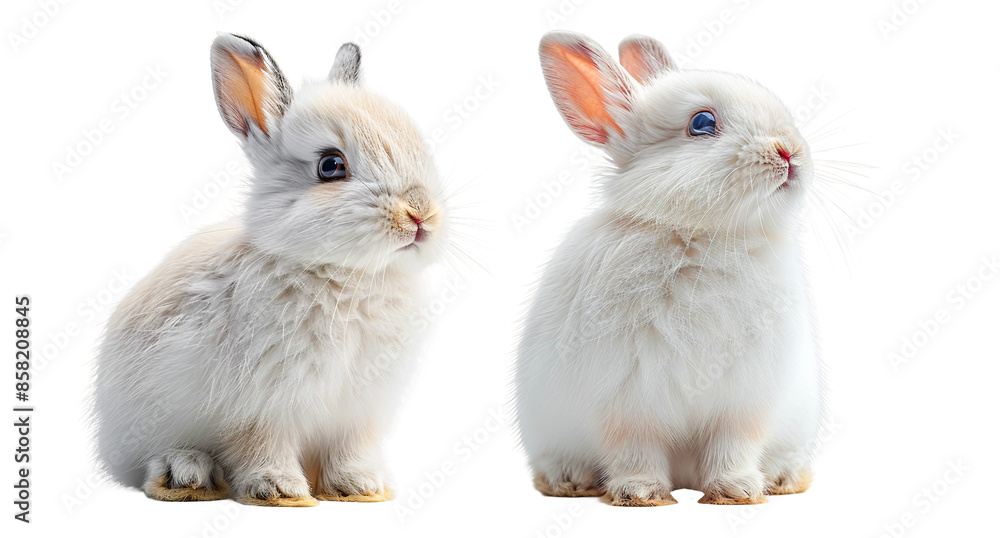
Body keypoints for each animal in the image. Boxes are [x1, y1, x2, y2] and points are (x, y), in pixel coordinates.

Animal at [92, 34, 447, 507]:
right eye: (330, 166)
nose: (421, 215)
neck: (346, 275)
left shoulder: (356, 412)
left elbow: (350, 449)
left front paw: (361, 487)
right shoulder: (258, 404)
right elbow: (260, 443)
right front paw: (280, 491)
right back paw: (186, 475)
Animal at [514, 32, 823, 506]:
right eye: (702, 123)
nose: (790, 152)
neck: (701, 239)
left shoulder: (742, 401)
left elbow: (733, 445)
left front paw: (737, 490)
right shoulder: (626, 400)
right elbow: (634, 449)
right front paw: (640, 494)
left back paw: (783, 479)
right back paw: (571, 481)